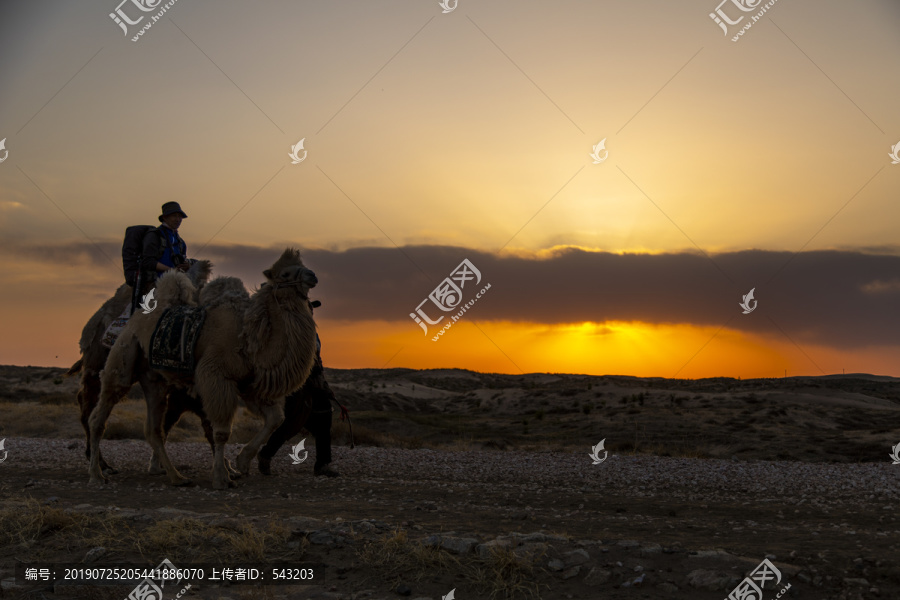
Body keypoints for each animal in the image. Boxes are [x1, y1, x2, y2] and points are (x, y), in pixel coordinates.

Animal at [89, 248, 320, 488]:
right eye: (285, 274)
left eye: (303, 265)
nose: (312, 275)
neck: (249, 338)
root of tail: (133, 319)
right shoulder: (215, 375)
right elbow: (221, 432)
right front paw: (221, 477)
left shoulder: (249, 385)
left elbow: (275, 418)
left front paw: (242, 462)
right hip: (123, 357)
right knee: (99, 416)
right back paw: (97, 474)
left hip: (154, 380)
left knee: (153, 429)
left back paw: (177, 477)